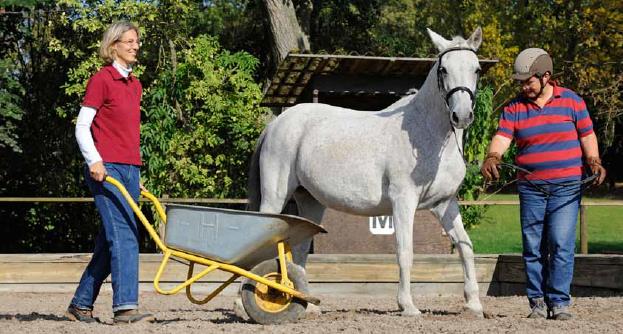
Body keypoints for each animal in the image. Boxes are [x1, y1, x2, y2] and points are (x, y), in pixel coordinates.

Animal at [247, 28, 482, 316]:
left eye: (476, 69)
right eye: (444, 70)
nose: (462, 115)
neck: (427, 134)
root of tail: (277, 123)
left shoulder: (445, 204)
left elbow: (465, 247)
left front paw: (474, 304)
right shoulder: (404, 201)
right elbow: (405, 251)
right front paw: (407, 305)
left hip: (310, 201)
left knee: (301, 250)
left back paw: (308, 306)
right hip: (276, 195)